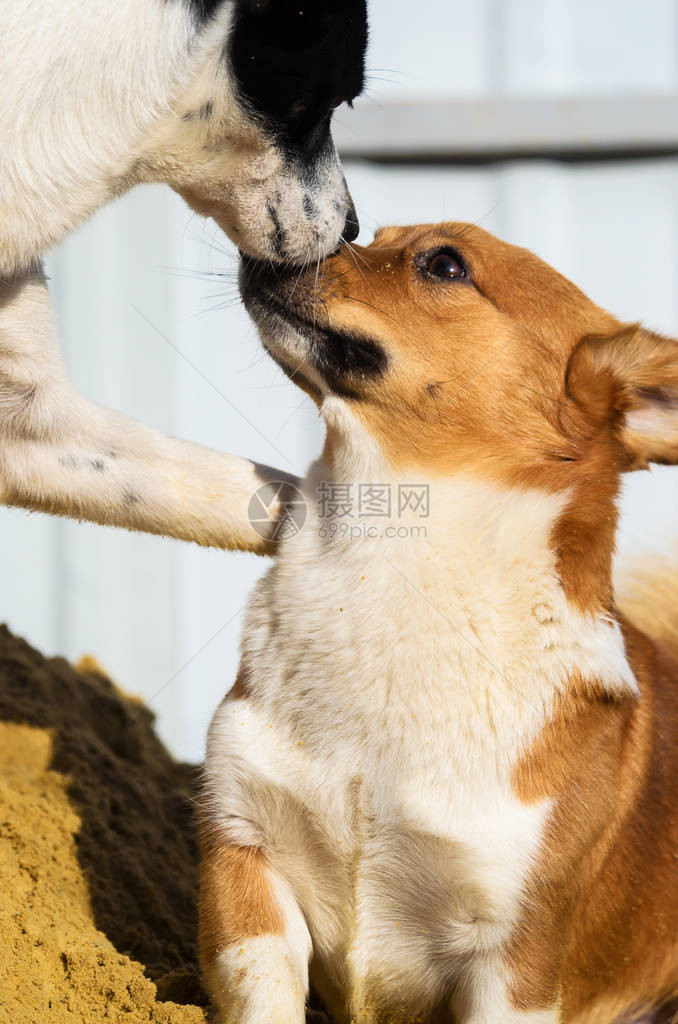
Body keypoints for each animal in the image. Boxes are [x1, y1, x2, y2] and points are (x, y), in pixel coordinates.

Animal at [200, 220, 678, 1019]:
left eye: (445, 264)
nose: (292, 233)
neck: (390, 562)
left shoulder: (511, 960)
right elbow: (264, 996)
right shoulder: (245, 857)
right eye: (369, 235)